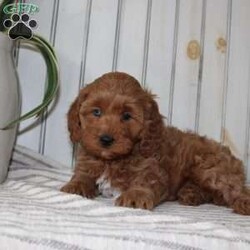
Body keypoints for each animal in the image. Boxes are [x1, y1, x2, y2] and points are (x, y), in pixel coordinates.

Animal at [61, 72, 250, 215]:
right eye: (96, 112)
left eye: (127, 116)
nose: (106, 140)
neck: (113, 160)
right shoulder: (86, 163)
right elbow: (82, 176)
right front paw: (75, 186)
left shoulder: (154, 171)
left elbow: (145, 181)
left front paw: (135, 197)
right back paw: (190, 194)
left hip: (210, 168)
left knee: (235, 188)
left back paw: (243, 203)